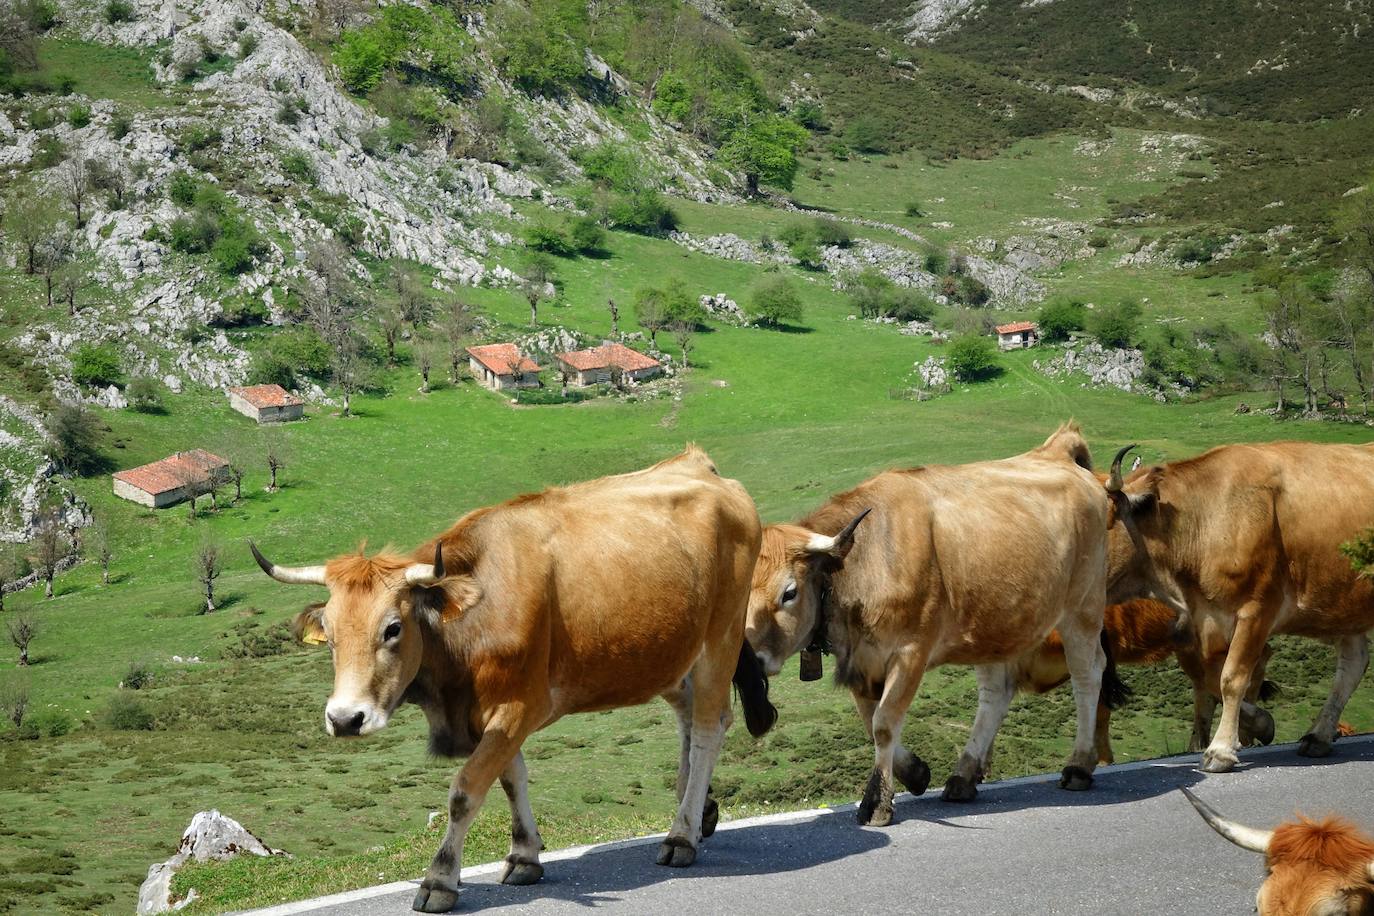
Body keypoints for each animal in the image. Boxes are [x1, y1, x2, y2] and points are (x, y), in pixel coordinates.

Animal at [252, 447, 774, 911]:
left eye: (392, 628)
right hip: (669, 651)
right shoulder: (492, 711)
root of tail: (700, 465)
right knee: (688, 716)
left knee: (708, 726)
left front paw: (440, 879)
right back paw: (698, 809)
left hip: (720, 636)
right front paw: (524, 855)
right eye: (331, 634)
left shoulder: (520, 705)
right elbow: (510, 777)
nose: (345, 719)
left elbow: (467, 789)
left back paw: (682, 834)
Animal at [747, 425, 1110, 829]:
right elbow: (870, 720)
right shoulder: (861, 660)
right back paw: (964, 775)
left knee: (1087, 674)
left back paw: (1078, 765)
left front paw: (877, 802)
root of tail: (1057, 452)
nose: (750, 660)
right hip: (995, 623)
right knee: (996, 692)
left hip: (1082, 607)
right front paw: (916, 772)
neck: (866, 559)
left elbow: (884, 722)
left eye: (789, 593)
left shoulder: (911, 652)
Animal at [1022, 601, 1275, 769]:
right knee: (1207, 686)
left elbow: (1100, 709)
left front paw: (1101, 759)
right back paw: (1202, 744)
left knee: (1248, 664)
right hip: (1191, 647)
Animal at [1099, 444, 1374, 774]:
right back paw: (1318, 736)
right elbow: (1209, 680)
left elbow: (1231, 678)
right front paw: (1260, 724)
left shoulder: (1256, 611)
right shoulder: (1204, 624)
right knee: (1353, 663)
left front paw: (1220, 751)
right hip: (1346, 605)